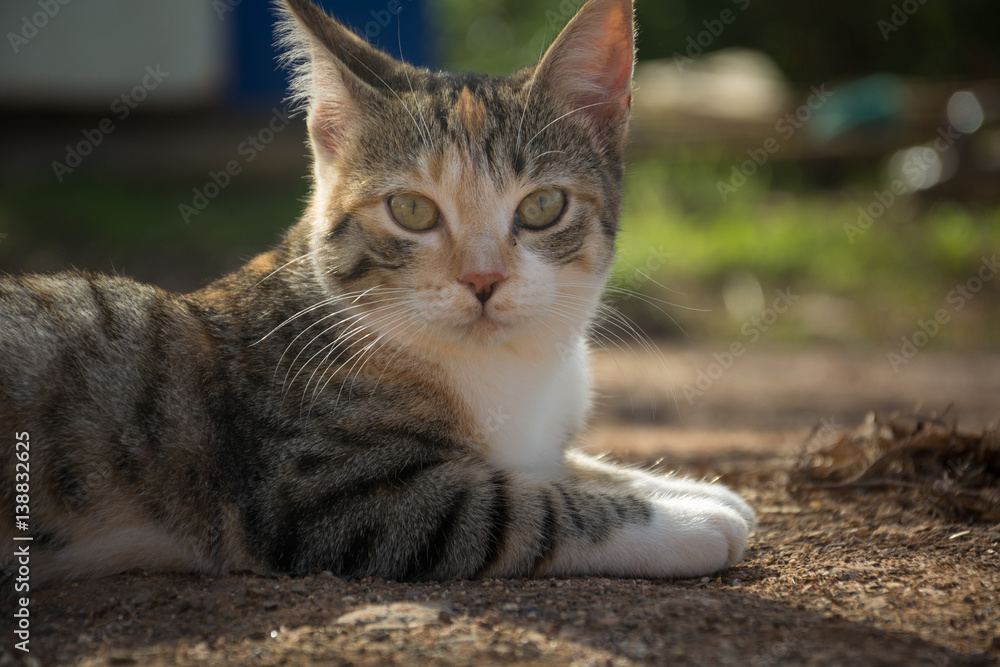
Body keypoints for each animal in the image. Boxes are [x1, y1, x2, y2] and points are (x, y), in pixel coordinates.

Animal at [0, 0, 752, 588]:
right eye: (412, 211)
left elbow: (558, 463)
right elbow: (514, 507)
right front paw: (687, 519)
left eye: (542, 207)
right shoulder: (320, 491)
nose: (483, 280)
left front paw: (686, 487)